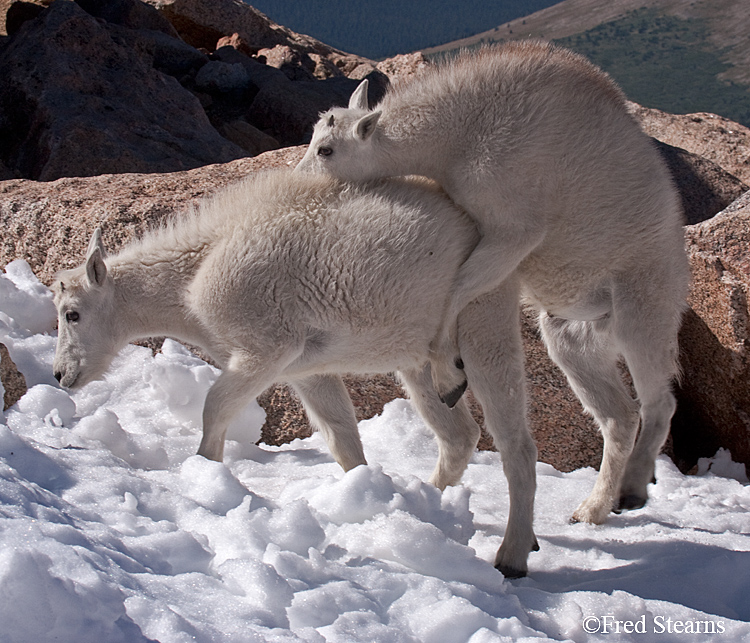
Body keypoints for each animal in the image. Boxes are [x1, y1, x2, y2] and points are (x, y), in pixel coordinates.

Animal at [53, 170, 544, 580]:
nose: (61, 375)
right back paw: (432, 509)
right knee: (459, 434)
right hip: (421, 360)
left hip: (483, 321)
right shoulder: (307, 369)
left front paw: (204, 476)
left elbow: (215, 408)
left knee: (515, 444)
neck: (191, 274)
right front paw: (370, 501)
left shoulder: (265, 348)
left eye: (72, 313)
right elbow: (341, 437)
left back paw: (512, 555)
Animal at [296, 44, 692, 528]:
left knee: (659, 402)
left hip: (644, 312)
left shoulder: (513, 229)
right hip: (570, 338)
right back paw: (593, 508)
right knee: (620, 415)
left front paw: (449, 376)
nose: (298, 180)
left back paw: (633, 488)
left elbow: (461, 285)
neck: (453, 137)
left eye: (327, 148)